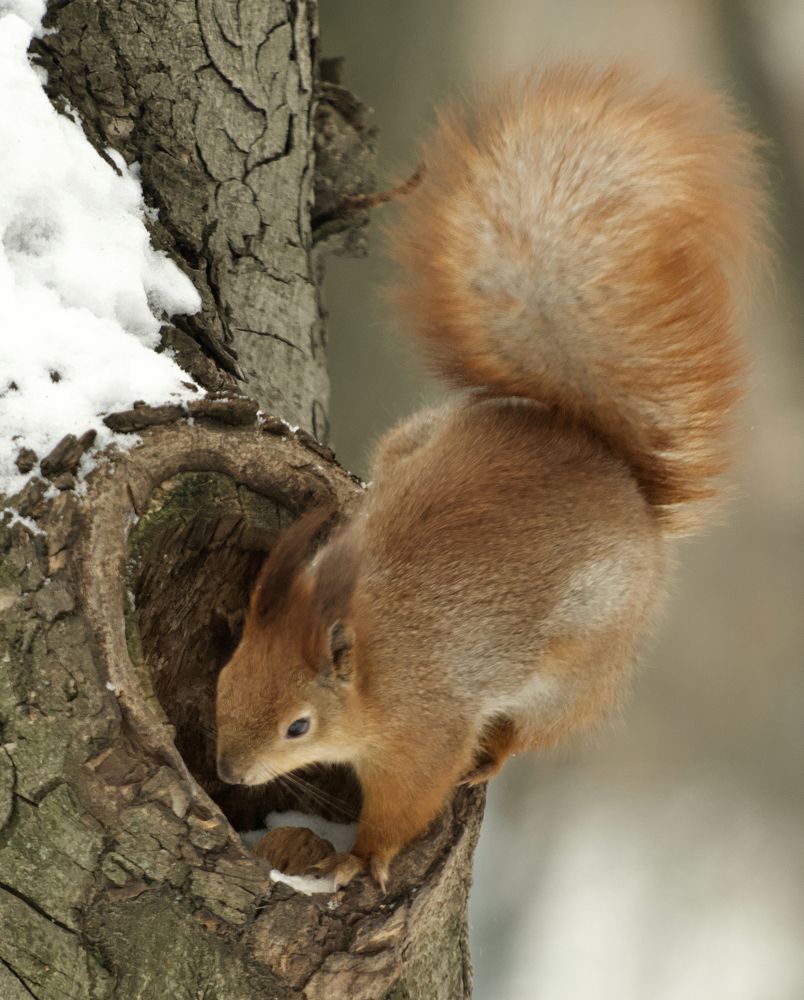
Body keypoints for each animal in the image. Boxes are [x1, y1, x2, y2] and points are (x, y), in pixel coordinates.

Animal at [215, 62, 766, 891]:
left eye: (298, 726)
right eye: (226, 671)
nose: (226, 770)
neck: (373, 659)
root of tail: (616, 472)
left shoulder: (425, 729)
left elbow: (409, 799)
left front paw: (362, 859)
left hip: (579, 664)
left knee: (534, 731)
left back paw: (492, 760)